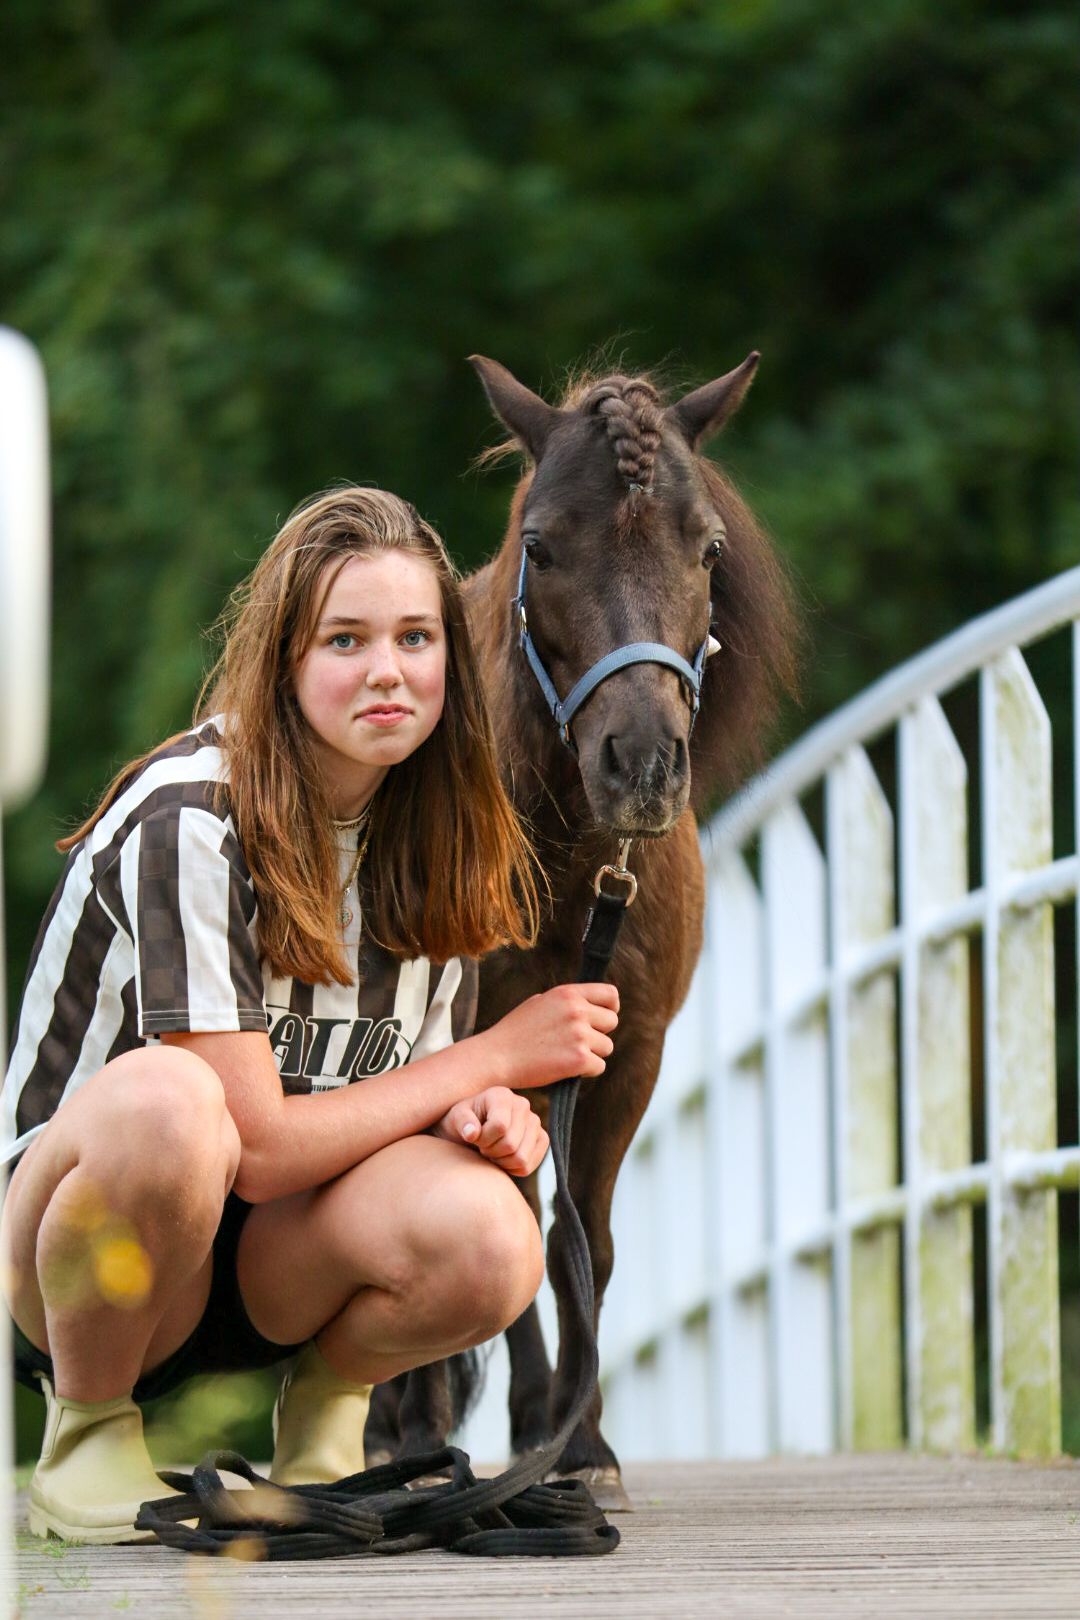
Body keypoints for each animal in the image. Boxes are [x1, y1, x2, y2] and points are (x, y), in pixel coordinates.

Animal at [364, 353, 800, 1508]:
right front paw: (440, 1431)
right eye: (542, 544)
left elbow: (582, 1241)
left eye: (708, 547)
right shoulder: (469, 1043)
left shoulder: (627, 1044)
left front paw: (582, 1443)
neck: (561, 861)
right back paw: (400, 1427)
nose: (641, 762)